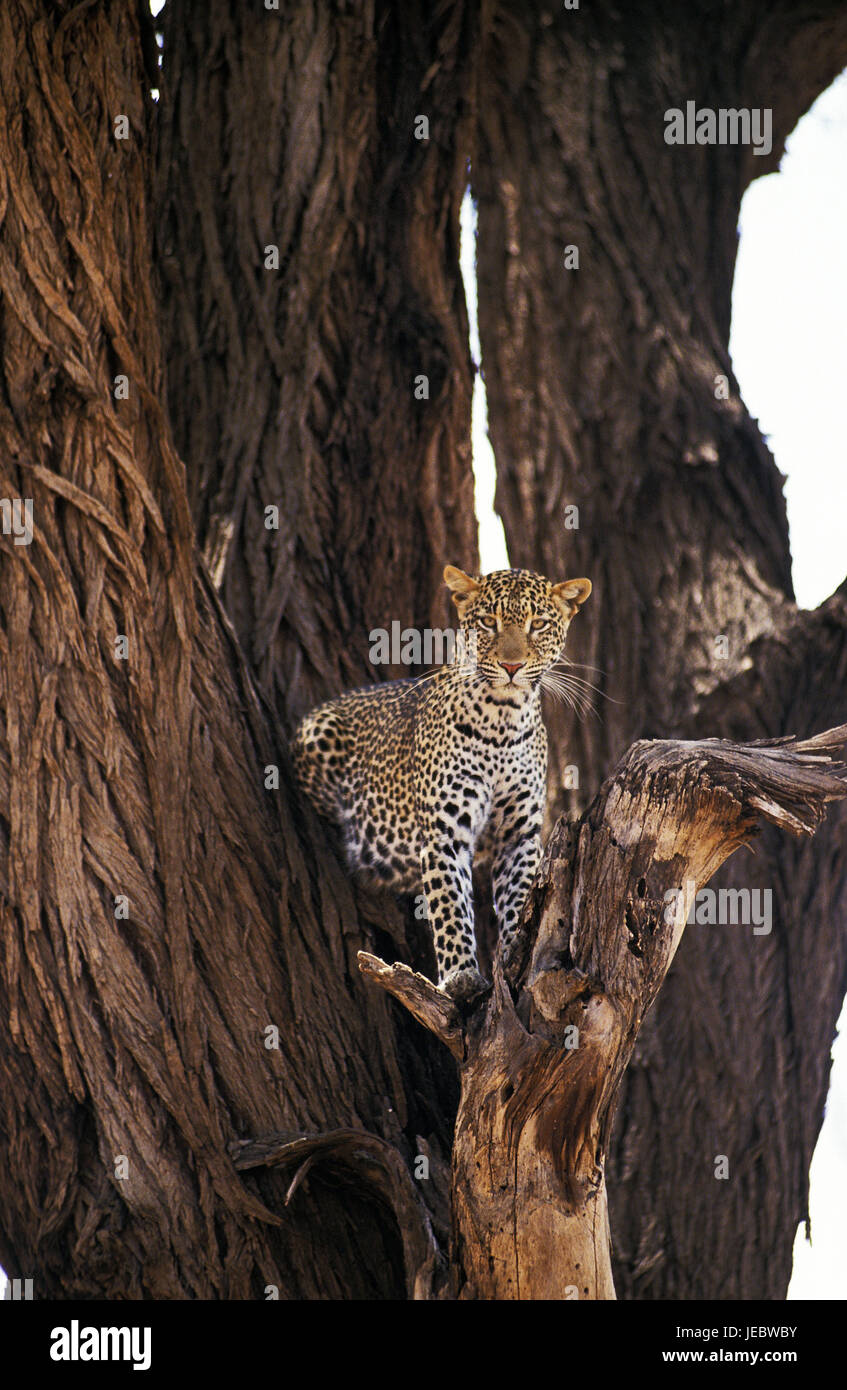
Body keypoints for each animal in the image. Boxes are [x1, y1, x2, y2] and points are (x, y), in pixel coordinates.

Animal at [291, 565, 592, 1002]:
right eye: (488, 623)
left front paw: (518, 946)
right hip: (316, 733)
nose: (512, 666)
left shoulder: (518, 833)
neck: (502, 720)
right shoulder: (444, 831)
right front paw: (461, 977)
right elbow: (449, 903)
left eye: (538, 625)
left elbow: (520, 891)